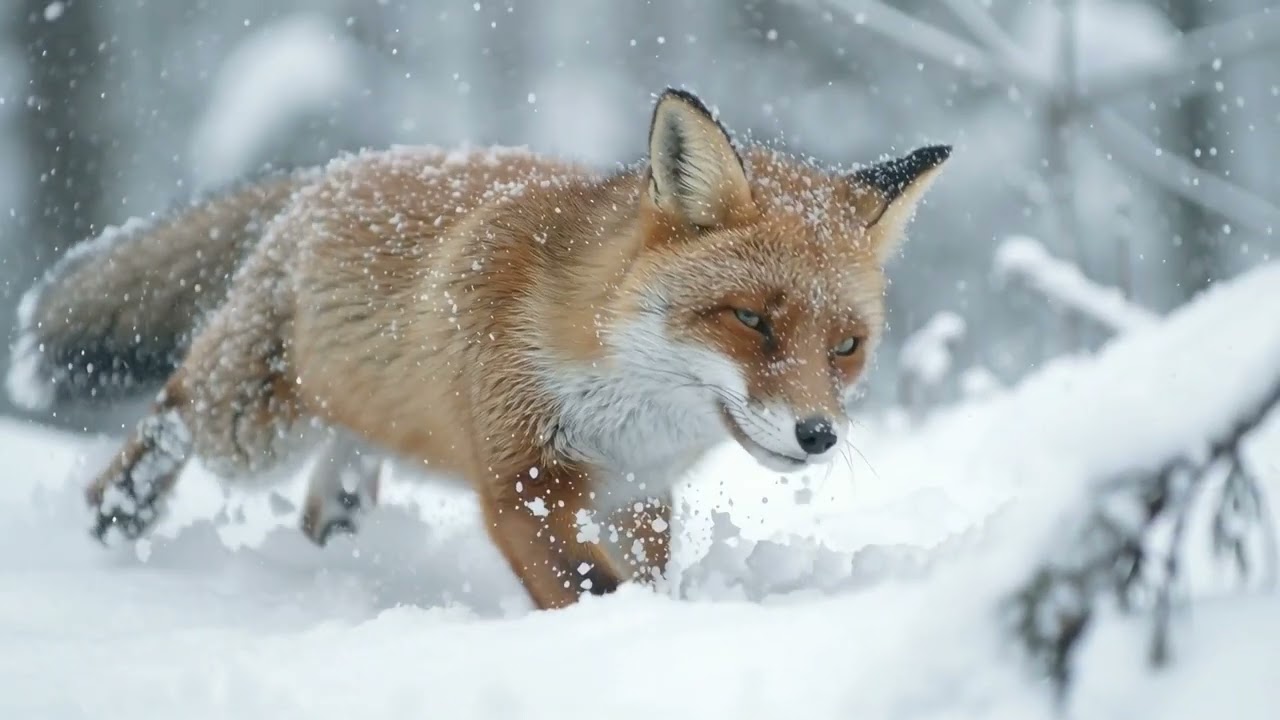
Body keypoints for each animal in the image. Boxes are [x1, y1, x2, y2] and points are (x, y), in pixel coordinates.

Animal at [7, 88, 949, 610]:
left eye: (847, 346)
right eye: (751, 320)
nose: (818, 436)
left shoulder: (636, 498)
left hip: (357, 432)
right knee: (174, 409)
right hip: (252, 429)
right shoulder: (525, 483)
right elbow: (592, 591)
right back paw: (118, 510)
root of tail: (331, 172)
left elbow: (643, 576)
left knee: (328, 495)